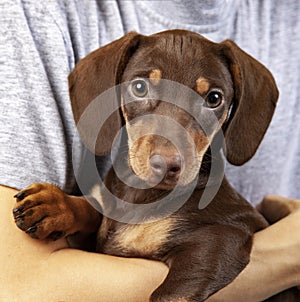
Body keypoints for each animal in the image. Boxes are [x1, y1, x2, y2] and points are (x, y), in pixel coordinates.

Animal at [11, 30, 298, 302]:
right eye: (139, 87)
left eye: (214, 98)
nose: (167, 165)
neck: (142, 196)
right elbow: (95, 209)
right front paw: (55, 205)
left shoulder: (223, 236)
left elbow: (173, 292)